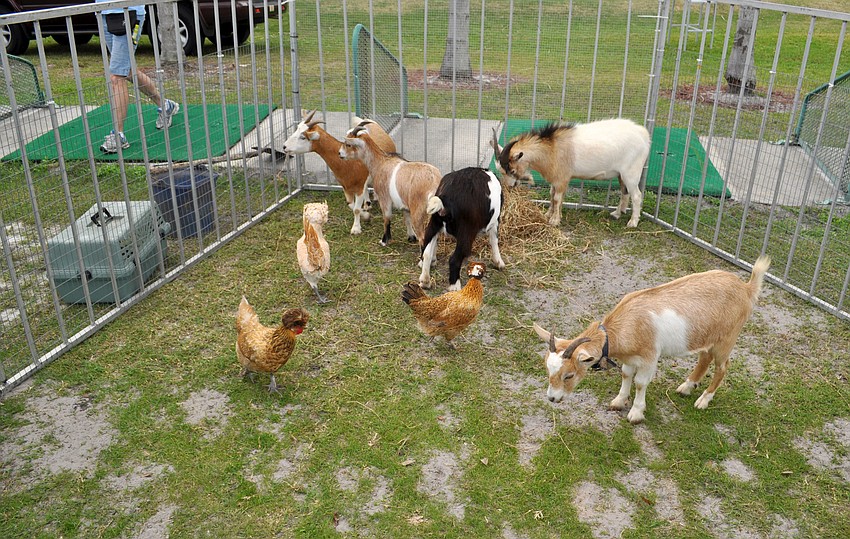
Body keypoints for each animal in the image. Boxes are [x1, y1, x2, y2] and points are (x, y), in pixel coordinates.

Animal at [497, 119, 651, 228]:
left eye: (512, 170)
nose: (509, 187)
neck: (551, 147)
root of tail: (645, 136)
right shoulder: (556, 178)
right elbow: (551, 195)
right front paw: (548, 214)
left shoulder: (562, 178)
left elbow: (557, 198)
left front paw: (554, 220)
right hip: (621, 175)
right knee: (625, 192)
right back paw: (617, 214)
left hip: (631, 173)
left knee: (636, 196)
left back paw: (632, 222)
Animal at [533, 256, 770, 424]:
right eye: (548, 370)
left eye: (569, 375)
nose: (552, 398)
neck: (627, 325)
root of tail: (746, 288)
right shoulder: (630, 357)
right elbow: (626, 374)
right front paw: (618, 401)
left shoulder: (649, 357)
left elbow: (640, 382)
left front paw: (636, 413)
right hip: (707, 336)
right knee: (704, 357)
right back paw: (686, 386)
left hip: (726, 340)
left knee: (722, 367)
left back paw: (703, 400)